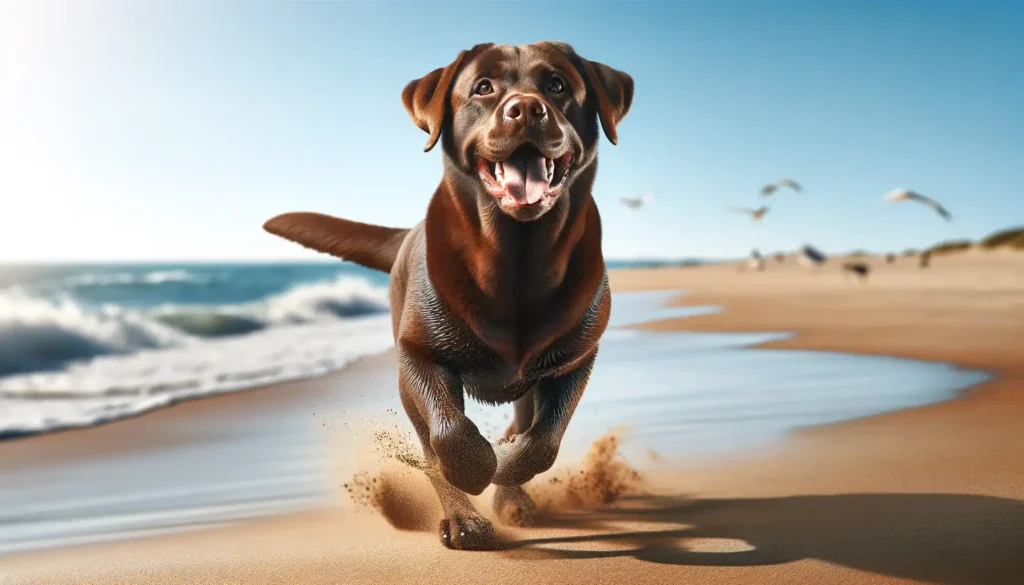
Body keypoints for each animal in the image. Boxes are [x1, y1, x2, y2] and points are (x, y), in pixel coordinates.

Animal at [264, 43, 630, 553]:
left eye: (556, 84)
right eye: (483, 87)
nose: (526, 109)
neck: (515, 258)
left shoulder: (575, 359)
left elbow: (544, 438)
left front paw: (508, 465)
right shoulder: (420, 355)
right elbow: (449, 433)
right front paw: (475, 471)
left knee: (523, 423)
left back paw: (512, 496)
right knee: (431, 443)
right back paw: (465, 521)